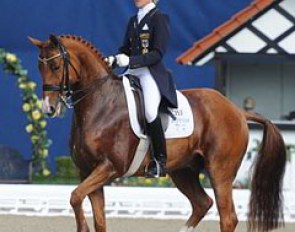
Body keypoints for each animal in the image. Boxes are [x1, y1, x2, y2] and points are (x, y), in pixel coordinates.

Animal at [29, 35, 286, 232]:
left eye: (55, 66)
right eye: (39, 67)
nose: (48, 108)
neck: (100, 104)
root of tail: (237, 110)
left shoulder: (109, 167)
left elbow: (74, 197)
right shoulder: (87, 171)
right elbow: (96, 217)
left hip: (220, 172)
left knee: (228, 217)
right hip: (183, 171)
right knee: (202, 204)